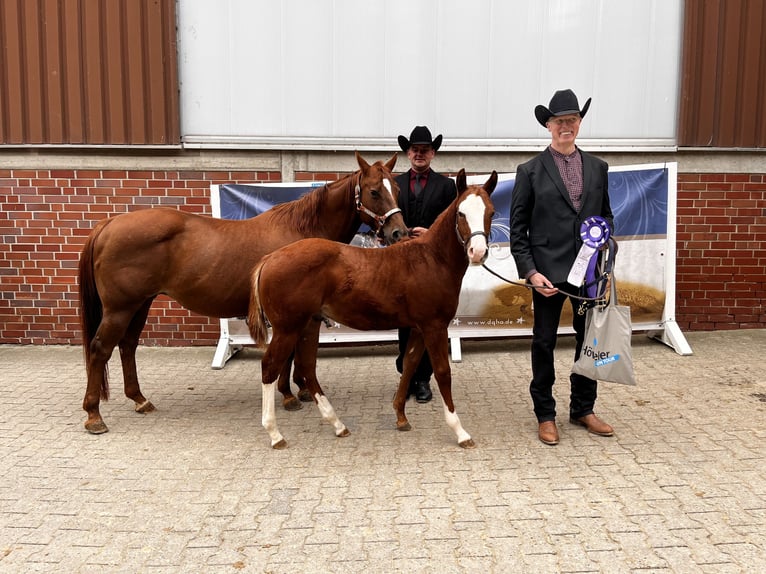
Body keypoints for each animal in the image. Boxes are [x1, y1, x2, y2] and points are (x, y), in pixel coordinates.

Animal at [78, 151, 408, 434]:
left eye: (397, 189)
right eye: (374, 191)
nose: (399, 233)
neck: (300, 232)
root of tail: (109, 224)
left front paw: (298, 389)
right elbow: (288, 354)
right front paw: (289, 394)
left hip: (140, 304)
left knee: (127, 346)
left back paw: (139, 399)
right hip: (120, 308)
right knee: (100, 349)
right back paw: (94, 415)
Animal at [248, 169, 498, 449]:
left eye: (491, 213)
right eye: (461, 213)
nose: (478, 252)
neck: (430, 259)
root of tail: (270, 258)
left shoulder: (419, 328)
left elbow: (409, 364)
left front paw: (401, 417)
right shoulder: (434, 326)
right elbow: (443, 372)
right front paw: (460, 431)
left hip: (308, 324)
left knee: (307, 368)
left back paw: (337, 424)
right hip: (287, 328)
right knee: (270, 367)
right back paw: (275, 433)